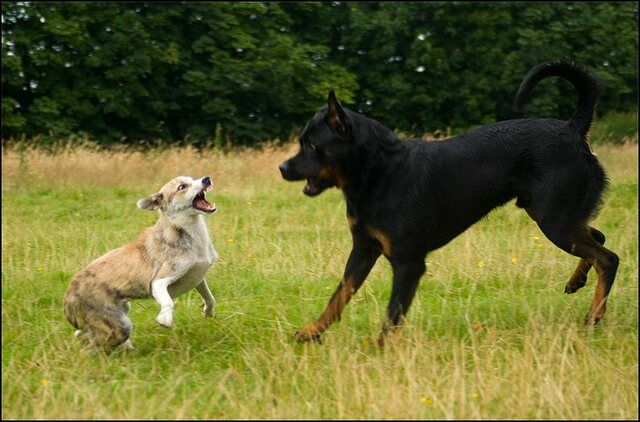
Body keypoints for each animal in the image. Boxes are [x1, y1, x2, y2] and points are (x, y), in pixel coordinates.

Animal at [63, 176, 218, 352]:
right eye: (182, 187)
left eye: (192, 178)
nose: (206, 179)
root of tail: (68, 294)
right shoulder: (159, 281)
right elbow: (168, 301)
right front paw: (165, 318)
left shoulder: (198, 277)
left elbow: (210, 298)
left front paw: (208, 312)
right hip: (119, 326)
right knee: (90, 348)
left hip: (119, 312)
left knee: (82, 333)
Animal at [280, 61, 620, 346]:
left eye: (312, 145)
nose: (283, 168)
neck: (378, 171)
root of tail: (573, 129)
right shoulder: (363, 250)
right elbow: (338, 296)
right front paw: (311, 332)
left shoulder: (408, 263)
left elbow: (392, 312)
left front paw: (379, 349)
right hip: (550, 212)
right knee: (598, 238)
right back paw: (576, 282)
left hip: (555, 220)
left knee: (608, 258)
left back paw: (594, 316)